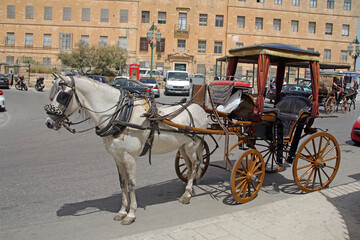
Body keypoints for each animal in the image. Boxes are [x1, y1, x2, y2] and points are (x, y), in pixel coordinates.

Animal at [45, 75, 208, 225]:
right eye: (52, 95)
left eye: (63, 96)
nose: (48, 122)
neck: (120, 115)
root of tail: (199, 108)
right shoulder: (117, 157)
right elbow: (122, 183)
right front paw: (122, 211)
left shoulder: (129, 157)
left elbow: (131, 184)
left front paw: (131, 214)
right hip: (183, 146)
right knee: (189, 166)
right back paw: (188, 189)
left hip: (192, 145)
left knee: (196, 165)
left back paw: (187, 194)